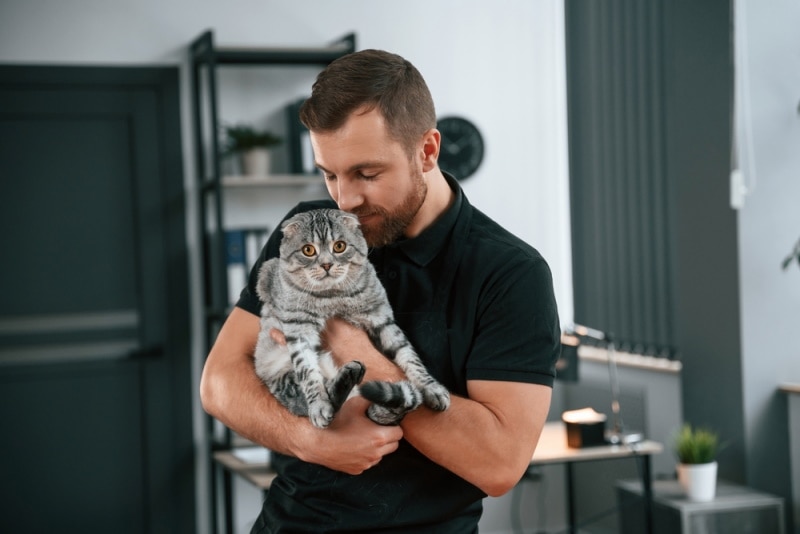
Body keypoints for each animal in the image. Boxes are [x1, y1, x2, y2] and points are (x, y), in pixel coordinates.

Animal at [253, 207, 450, 430]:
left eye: (339, 246)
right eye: (308, 250)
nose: (327, 264)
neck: (333, 298)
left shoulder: (382, 319)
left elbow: (409, 356)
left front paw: (431, 387)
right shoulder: (298, 328)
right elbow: (308, 372)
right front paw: (318, 404)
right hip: (282, 375)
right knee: (313, 396)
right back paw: (345, 379)